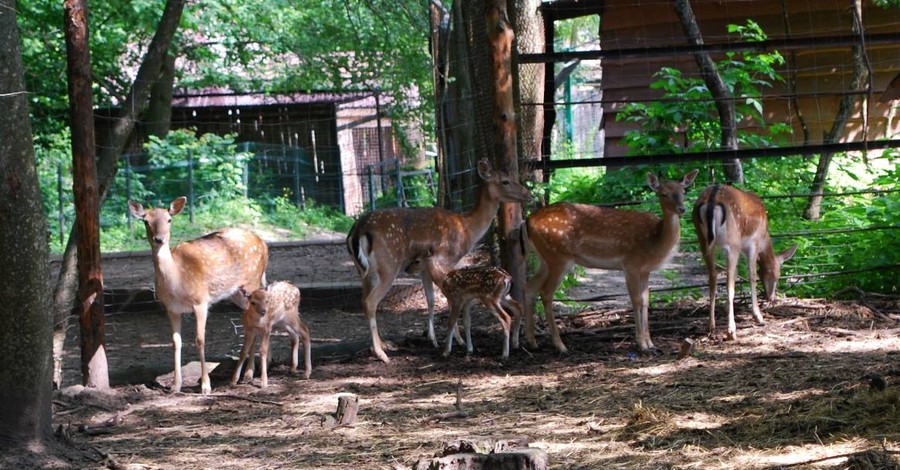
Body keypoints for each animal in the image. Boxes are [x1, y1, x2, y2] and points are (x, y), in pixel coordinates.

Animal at [127, 195, 268, 392]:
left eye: (169, 219)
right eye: (146, 221)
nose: (159, 239)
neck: (177, 281)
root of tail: (264, 243)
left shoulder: (201, 301)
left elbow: (200, 340)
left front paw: (205, 386)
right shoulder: (171, 309)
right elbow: (175, 342)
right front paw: (175, 385)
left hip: (253, 283)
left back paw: (247, 374)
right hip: (237, 294)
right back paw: (248, 373)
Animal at [342, 159, 528, 364]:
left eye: (511, 177)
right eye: (505, 181)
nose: (528, 194)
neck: (468, 229)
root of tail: (357, 231)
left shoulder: (424, 266)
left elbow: (430, 300)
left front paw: (433, 339)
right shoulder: (447, 259)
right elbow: (448, 300)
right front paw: (459, 341)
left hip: (362, 271)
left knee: (363, 300)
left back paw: (381, 345)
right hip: (388, 265)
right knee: (370, 302)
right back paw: (381, 354)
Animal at [520, 169, 696, 352]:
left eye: (683, 191)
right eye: (664, 194)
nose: (682, 209)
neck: (655, 240)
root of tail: (527, 221)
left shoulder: (645, 270)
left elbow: (646, 301)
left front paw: (651, 343)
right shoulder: (631, 264)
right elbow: (636, 301)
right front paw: (641, 344)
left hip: (544, 259)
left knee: (529, 287)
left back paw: (532, 342)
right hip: (559, 257)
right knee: (546, 292)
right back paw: (560, 345)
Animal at [692, 184, 800, 342]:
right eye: (777, 275)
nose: (771, 297)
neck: (764, 238)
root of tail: (712, 199)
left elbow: (738, 272)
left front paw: (726, 308)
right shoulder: (753, 243)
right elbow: (751, 275)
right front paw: (758, 316)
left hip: (702, 240)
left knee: (713, 276)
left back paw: (710, 326)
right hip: (732, 242)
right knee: (728, 282)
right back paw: (731, 331)